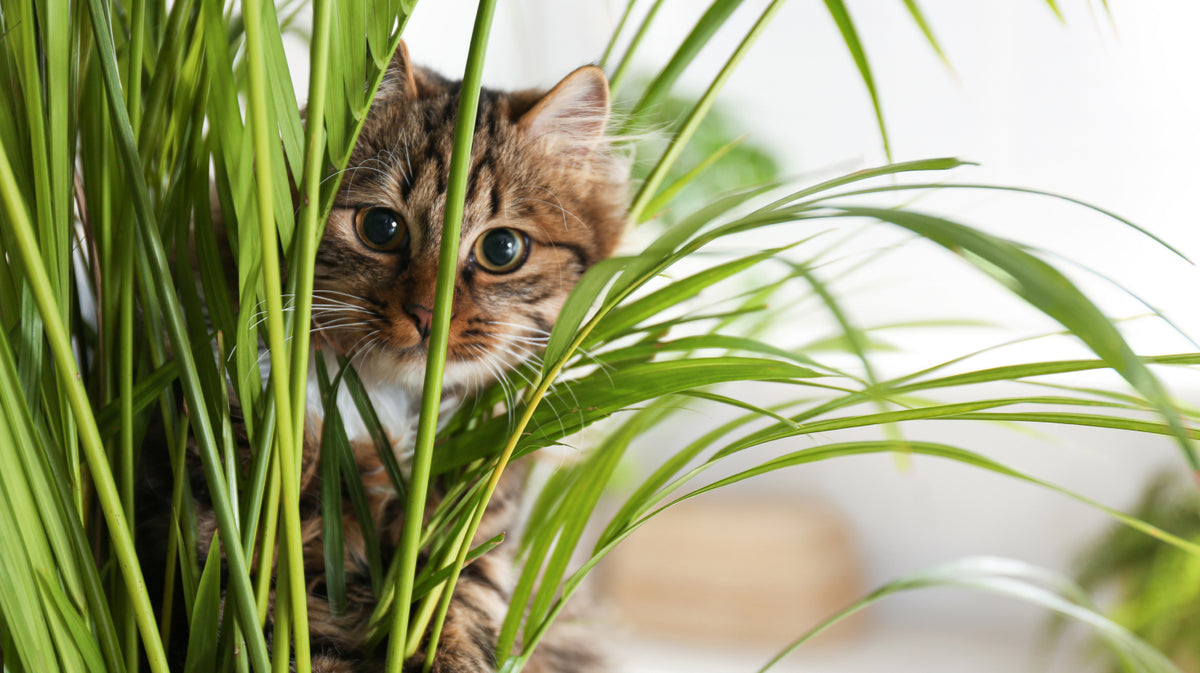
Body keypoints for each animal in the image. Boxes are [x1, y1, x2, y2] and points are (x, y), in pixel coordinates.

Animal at [144, 43, 628, 671]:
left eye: (502, 249)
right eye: (381, 227)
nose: (427, 315)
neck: (381, 409)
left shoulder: (471, 540)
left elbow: (462, 610)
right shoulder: (235, 535)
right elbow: (290, 636)